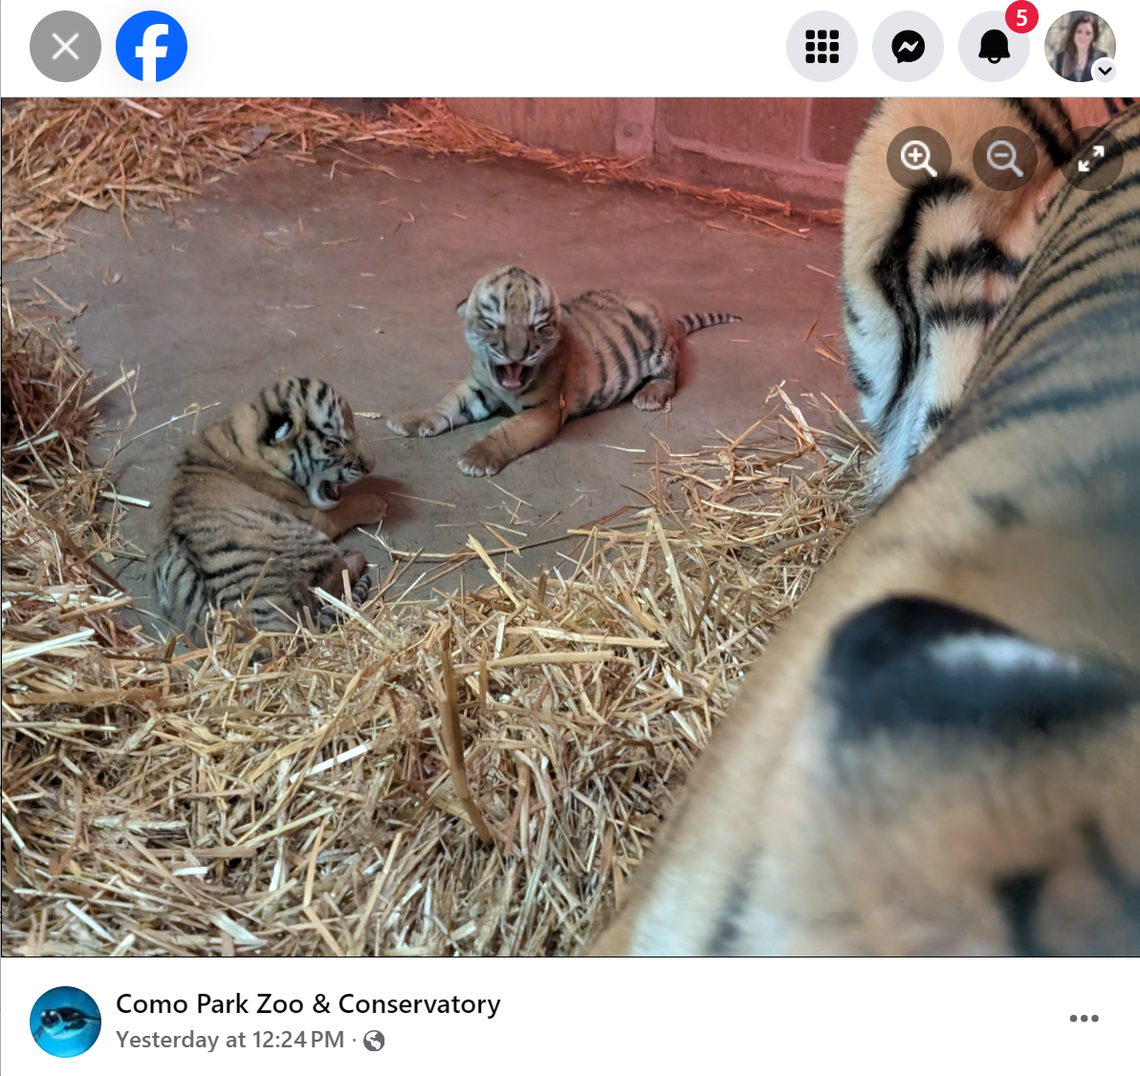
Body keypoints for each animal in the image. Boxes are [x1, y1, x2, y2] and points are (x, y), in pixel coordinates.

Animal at [151, 377, 388, 648]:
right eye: (335, 443)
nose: (371, 465)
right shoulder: (314, 516)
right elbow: (344, 508)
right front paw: (376, 503)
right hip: (306, 539)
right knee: (330, 584)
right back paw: (354, 556)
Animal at [386, 265, 740, 476]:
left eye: (538, 327)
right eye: (493, 323)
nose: (517, 353)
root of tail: (663, 312)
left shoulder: (543, 410)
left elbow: (506, 431)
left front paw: (478, 458)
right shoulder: (477, 388)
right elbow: (446, 405)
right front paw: (410, 420)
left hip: (658, 350)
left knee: (672, 373)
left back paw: (650, 394)